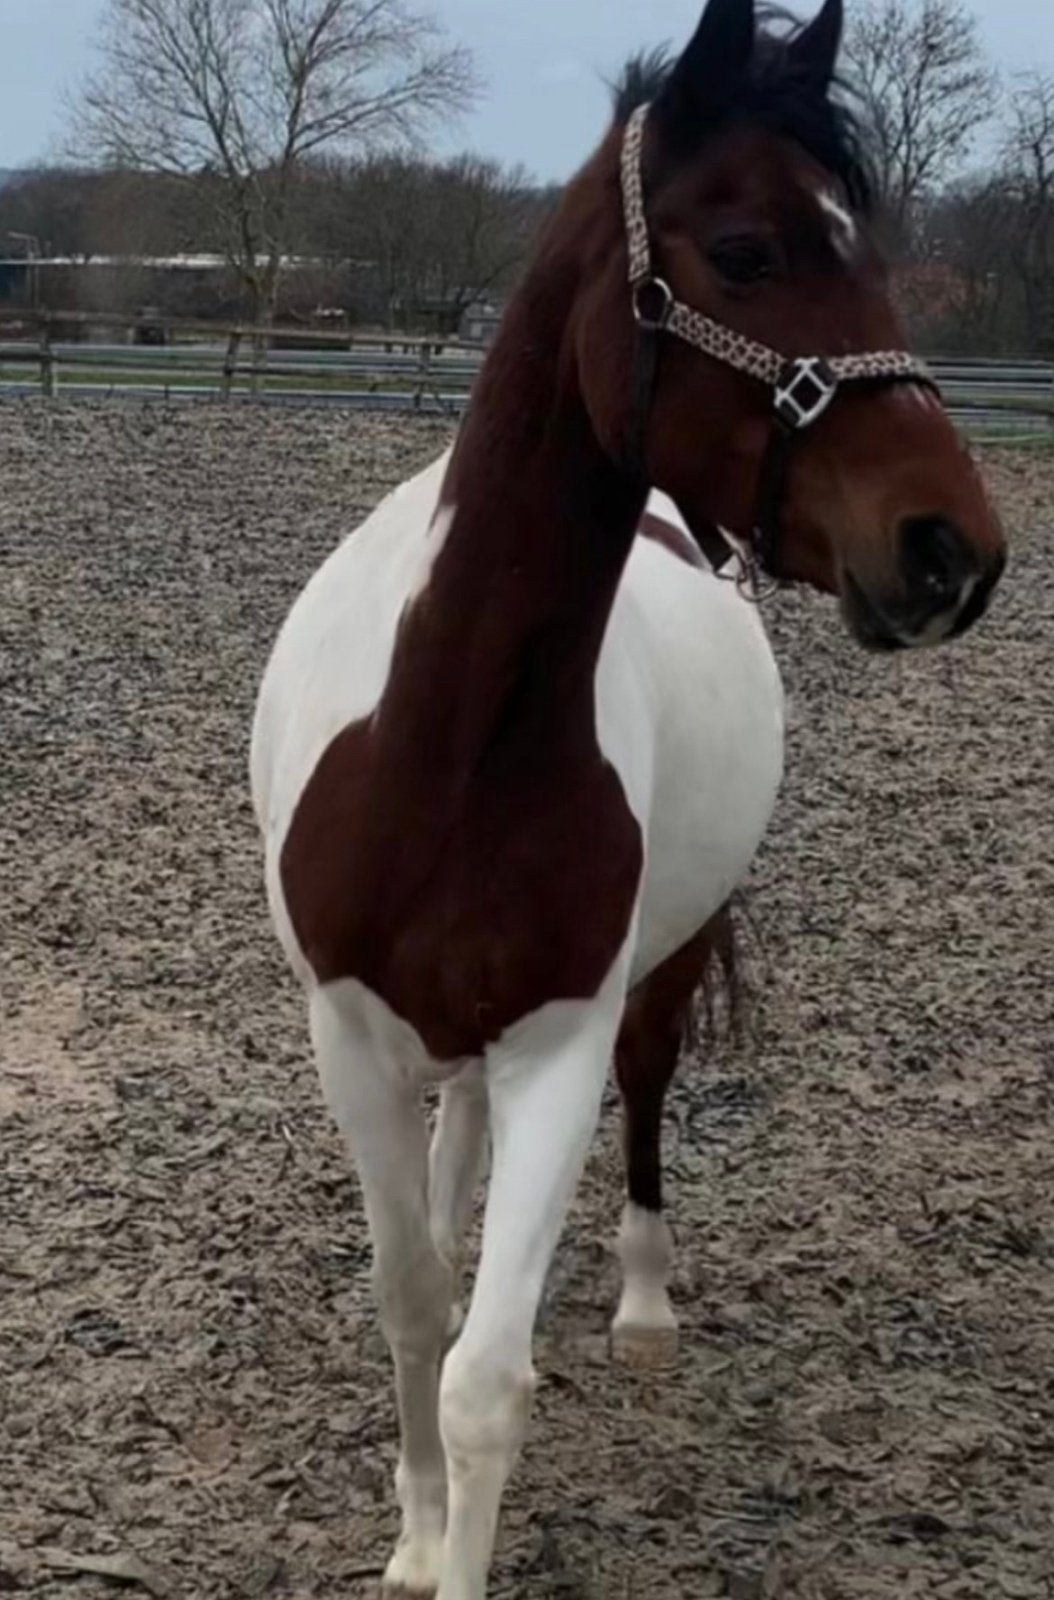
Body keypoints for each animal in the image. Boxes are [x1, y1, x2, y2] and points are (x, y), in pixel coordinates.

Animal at [250, 0, 1005, 1594]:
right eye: (748, 251)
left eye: (869, 247)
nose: (951, 549)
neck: (450, 753)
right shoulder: (348, 1033)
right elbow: (412, 1304)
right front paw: (411, 1534)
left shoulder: (562, 1036)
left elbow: (484, 1377)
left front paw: (454, 1537)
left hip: (667, 955)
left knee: (650, 1087)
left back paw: (646, 1303)